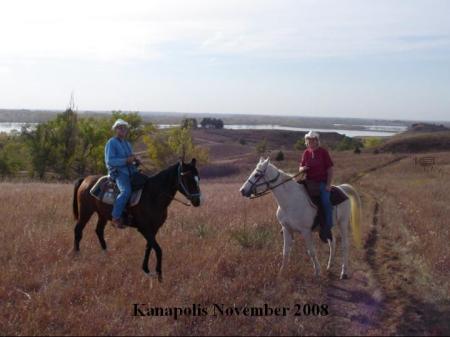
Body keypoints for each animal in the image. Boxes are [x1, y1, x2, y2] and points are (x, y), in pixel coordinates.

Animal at [71, 159, 200, 280]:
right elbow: (158, 249)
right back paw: (77, 254)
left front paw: (146, 269)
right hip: (85, 212)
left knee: (99, 231)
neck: (153, 195)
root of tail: (86, 179)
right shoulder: (144, 229)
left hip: (102, 215)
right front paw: (159, 274)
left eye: (198, 178)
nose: (197, 201)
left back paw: (106, 254)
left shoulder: (154, 229)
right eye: (187, 178)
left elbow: (149, 247)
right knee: (78, 230)